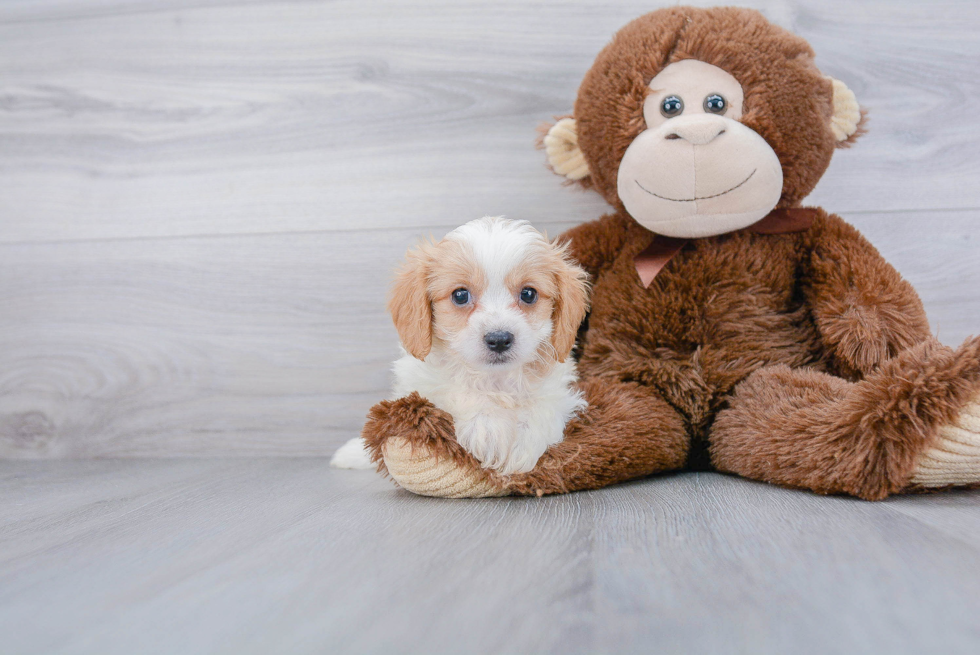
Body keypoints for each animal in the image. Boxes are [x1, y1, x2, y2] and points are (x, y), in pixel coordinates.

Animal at [330, 219, 588, 476]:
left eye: (528, 294)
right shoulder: (423, 382)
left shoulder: (558, 388)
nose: (499, 339)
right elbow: (458, 389)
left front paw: (524, 441)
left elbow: (542, 404)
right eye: (460, 295)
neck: (494, 379)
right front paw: (489, 427)